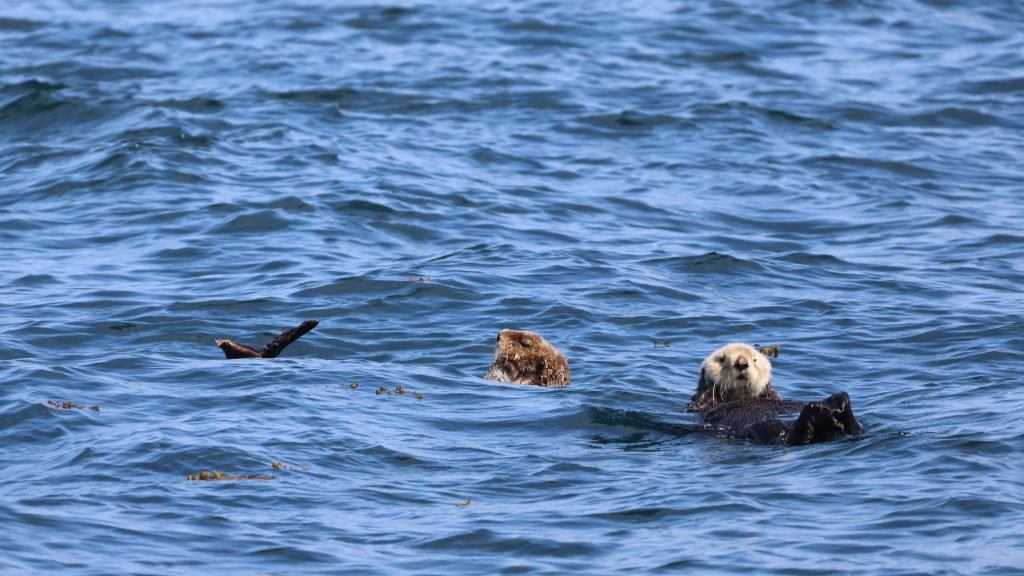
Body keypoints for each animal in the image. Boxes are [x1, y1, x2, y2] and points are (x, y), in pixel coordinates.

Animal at [686, 343, 861, 445]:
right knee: (791, 438)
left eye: (754, 360)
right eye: (721, 359)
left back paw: (838, 403)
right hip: (764, 427)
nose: (741, 364)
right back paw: (816, 412)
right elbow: (700, 404)